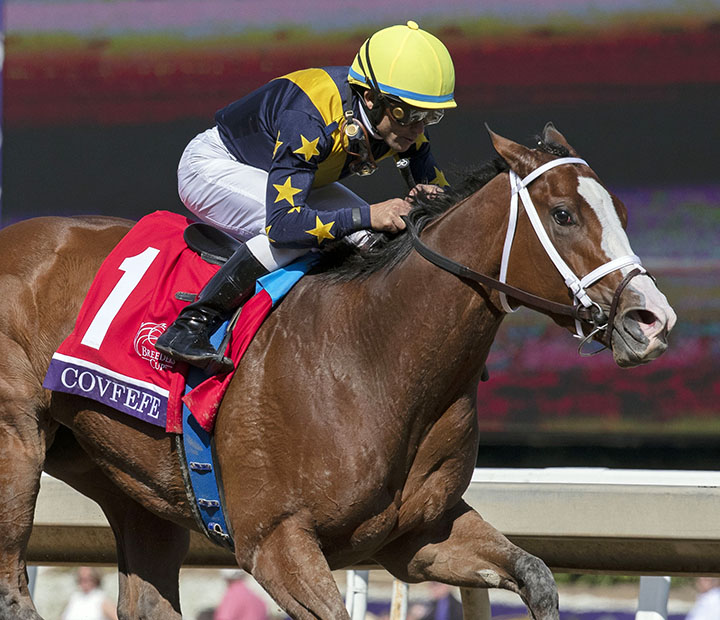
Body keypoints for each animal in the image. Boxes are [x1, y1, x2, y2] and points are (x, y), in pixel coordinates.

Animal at [0, 124, 676, 620]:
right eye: (563, 214)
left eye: (618, 208)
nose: (651, 319)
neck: (374, 355)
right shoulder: (275, 540)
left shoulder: (418, 537)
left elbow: (535, 575)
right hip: (19, 444)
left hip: (128, 483)